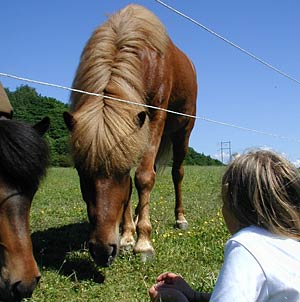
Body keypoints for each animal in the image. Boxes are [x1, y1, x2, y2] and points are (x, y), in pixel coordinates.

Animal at [64, 3, 198, 266]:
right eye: (81, 172)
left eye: (121, 173)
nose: (102, 251)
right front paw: (127, 236)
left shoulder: (155, 117)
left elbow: (144, 178)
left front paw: (143, 243)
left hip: (183, 132)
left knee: (177, 173)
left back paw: (179, 218)